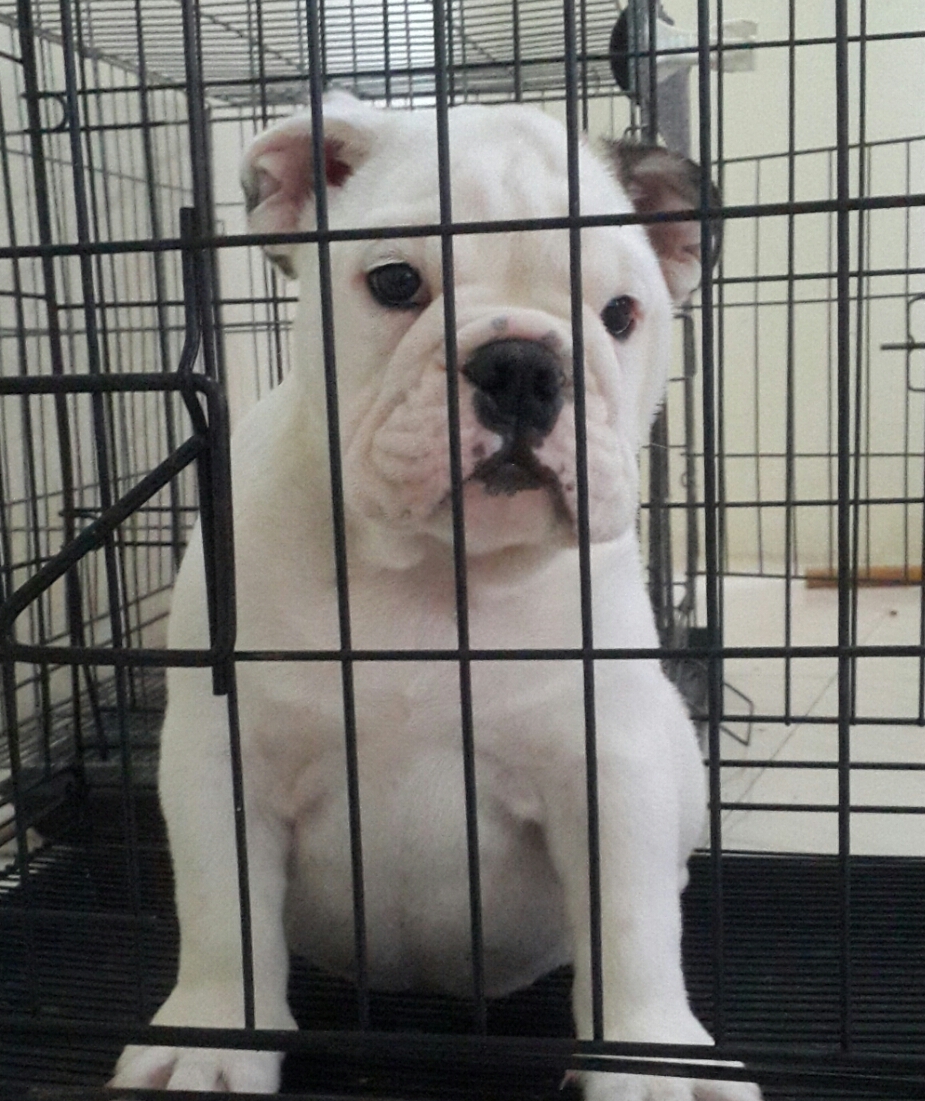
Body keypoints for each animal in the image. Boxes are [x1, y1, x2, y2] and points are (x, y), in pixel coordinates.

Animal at [111, 93, 759, 1100]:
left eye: (620, 313)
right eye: (393, 282)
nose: (522, 364)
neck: (435, 574)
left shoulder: (614, 767)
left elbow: (632, 928)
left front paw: (653, 1059)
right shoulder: (224, 756)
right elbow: (225, 915)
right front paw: (216, 1039)